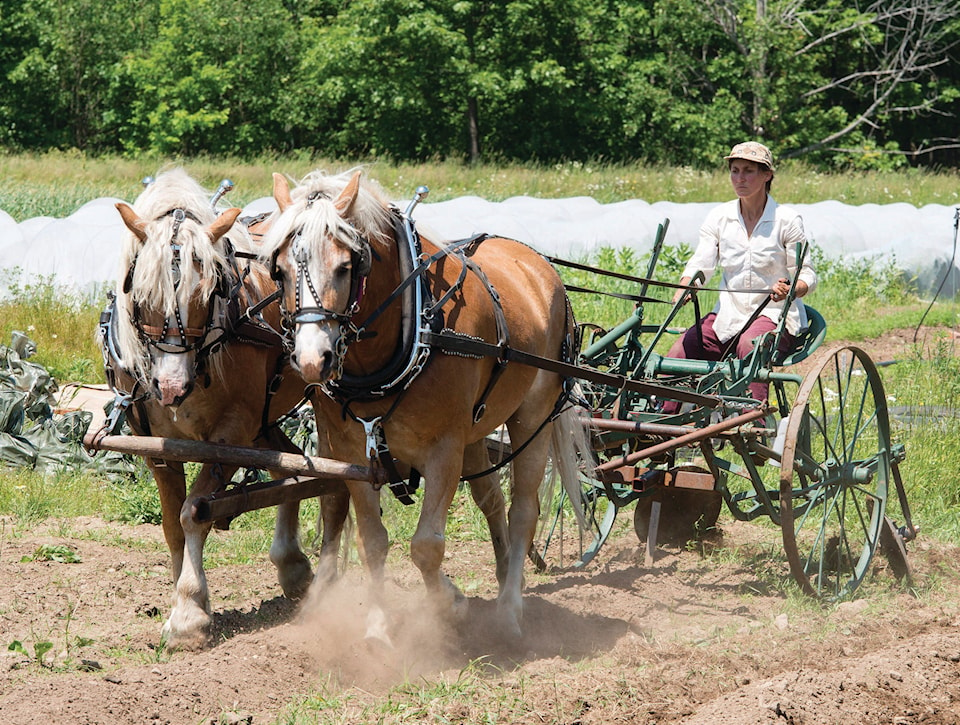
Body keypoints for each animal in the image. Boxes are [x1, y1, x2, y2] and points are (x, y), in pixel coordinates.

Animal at [104, 168, 348, 644]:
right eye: (140, 294)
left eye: (209, 292)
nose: (170, 387)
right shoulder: (156, 445)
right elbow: (170, 524)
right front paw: (182, 600)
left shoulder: (231, 433)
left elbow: (194, 512)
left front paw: (189, 614)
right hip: (263, 422)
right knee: (288, 467)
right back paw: (292, 566)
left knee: (337, 485)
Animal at [262, 167, 592, 636]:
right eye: (280, 270)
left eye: (346, 267)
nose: (312, 359)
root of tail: (539, 264)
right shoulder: (353, 452)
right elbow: (372, 541)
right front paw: (378, 627)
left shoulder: (443, 450)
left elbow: (426, 546)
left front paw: (449, 605)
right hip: (476, 429)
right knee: (492, 499)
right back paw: (504, 572)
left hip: (535, 417)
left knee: (524, 509)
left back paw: (510, 611)